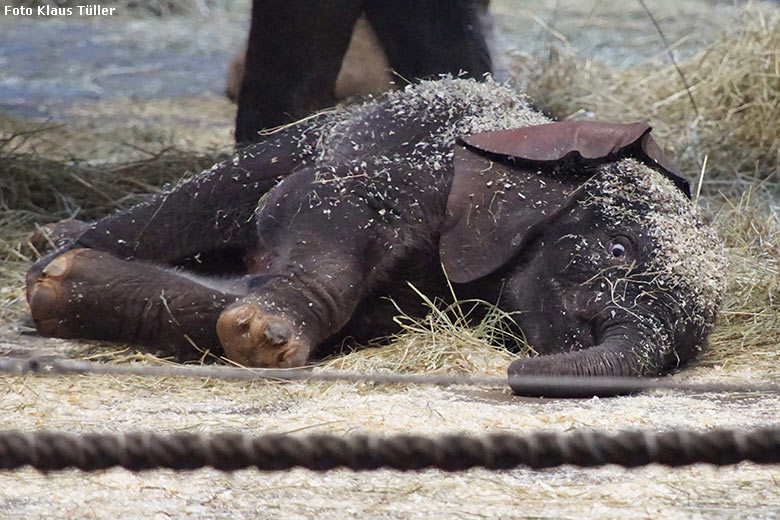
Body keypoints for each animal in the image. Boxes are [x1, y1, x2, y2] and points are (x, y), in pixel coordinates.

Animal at [27, 78, 728, 394]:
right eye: (618, 250)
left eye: (686, 351)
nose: (511, 369)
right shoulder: (418, 165)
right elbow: (320, 205)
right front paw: (260, 334)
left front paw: (62, 292)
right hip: (300, 136)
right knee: (204, 199)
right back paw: (48, 246)